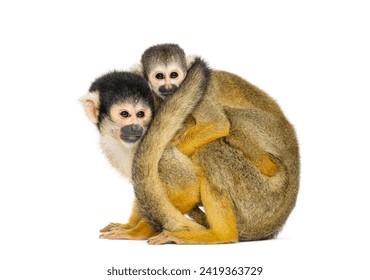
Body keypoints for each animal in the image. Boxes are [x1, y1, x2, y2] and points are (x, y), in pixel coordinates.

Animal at [132, 44, 300, 244]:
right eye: (159, 76)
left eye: (174, 75)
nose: (169, 87)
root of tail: (292, 143)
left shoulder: (202, 96)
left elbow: (218, 124)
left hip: (271, 137)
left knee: (226, 130)